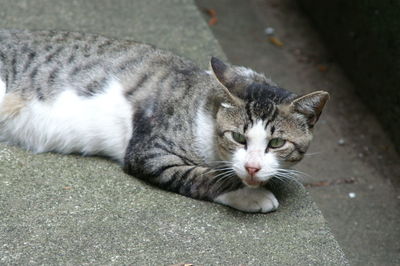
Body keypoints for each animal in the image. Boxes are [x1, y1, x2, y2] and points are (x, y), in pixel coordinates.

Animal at [0, 29, 328, 213]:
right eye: (237, 137)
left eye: (276, 142)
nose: (252, 167)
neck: (207, 110)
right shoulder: (149, 152)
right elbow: (203, 176)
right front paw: (250, 195)